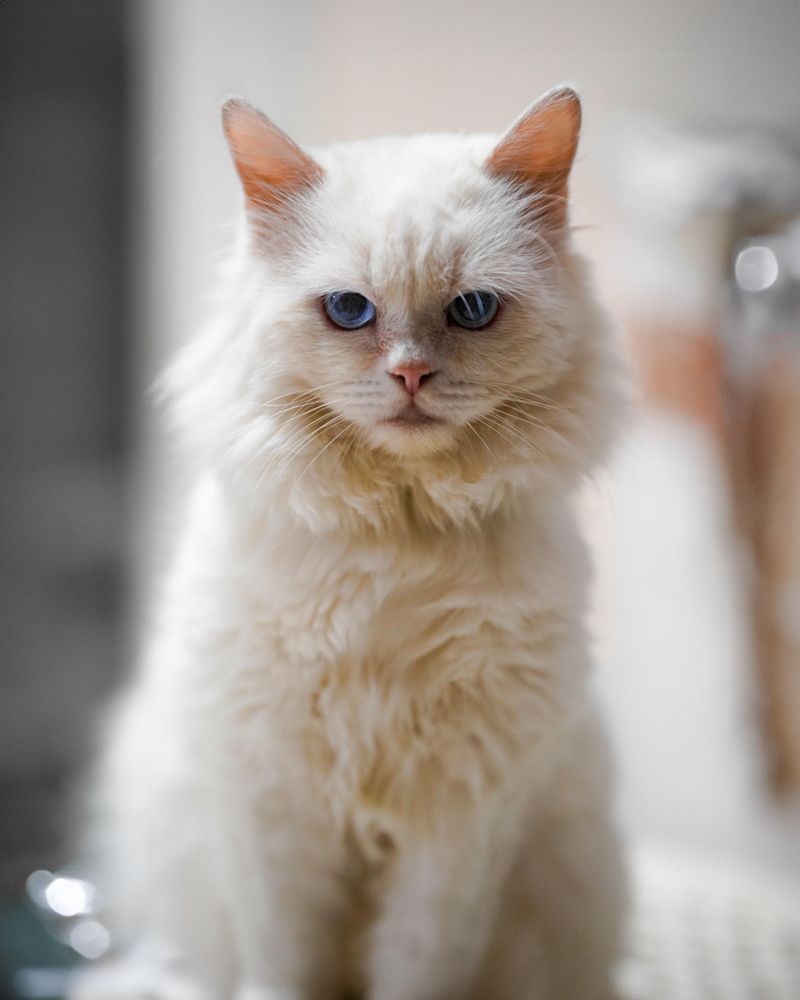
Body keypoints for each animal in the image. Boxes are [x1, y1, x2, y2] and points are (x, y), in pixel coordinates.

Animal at [78, 84, 632, 1000]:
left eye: (472, 310)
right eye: (349, 310)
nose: (410, 376)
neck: (398, 537)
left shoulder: (461, 817)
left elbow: (417, 965)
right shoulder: (272, 805)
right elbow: (283, 967)